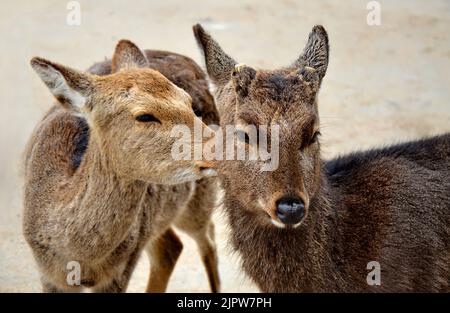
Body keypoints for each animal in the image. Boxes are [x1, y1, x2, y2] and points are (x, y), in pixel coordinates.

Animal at [23, 39, 221, 292]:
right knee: (172, 247)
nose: (222, 145)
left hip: (197, 201)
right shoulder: (47, 273)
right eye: (145, 116)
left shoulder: (122, 268)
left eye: (189, 103)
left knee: (208, 239)